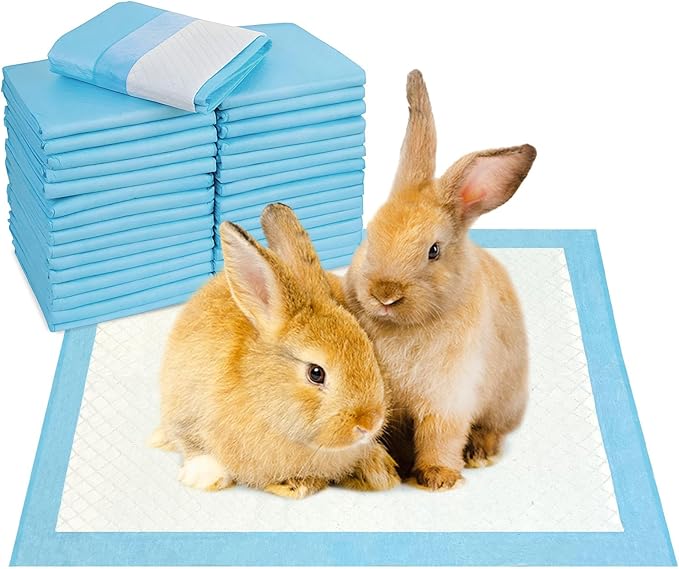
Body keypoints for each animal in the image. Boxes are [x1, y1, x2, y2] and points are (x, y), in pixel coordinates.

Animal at [151, 206, 400, 498]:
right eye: (316, 373)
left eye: (368, 348)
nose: (369, 422)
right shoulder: (185, 408)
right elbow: (193, 444)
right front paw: (203, 477)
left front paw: (377, 470)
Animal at [343, 70, 536, 490]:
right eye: (371, 234)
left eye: (434, 251)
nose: (385, 294)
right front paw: (386, 468)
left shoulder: (449, 398)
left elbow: (440, 434)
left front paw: (438, 477)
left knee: (493, 428)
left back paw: (480, 452)